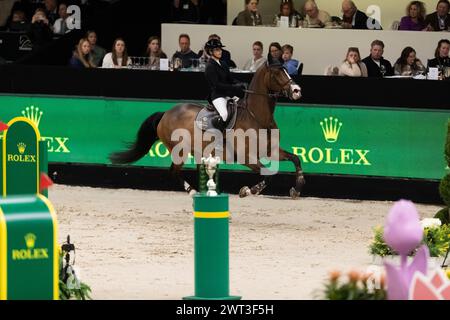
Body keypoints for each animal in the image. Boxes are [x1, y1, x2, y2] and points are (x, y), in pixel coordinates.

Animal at [109, 62, 306, 198]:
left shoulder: (270, 150)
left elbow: (295, 159)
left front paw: (297, 189)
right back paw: (193, 191)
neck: (256, 116)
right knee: (173, 171)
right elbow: (270, 175)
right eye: (277, 73)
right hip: (180, 151)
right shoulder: (246, 157)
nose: (297, 90)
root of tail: (166, 113)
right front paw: (248, 191)